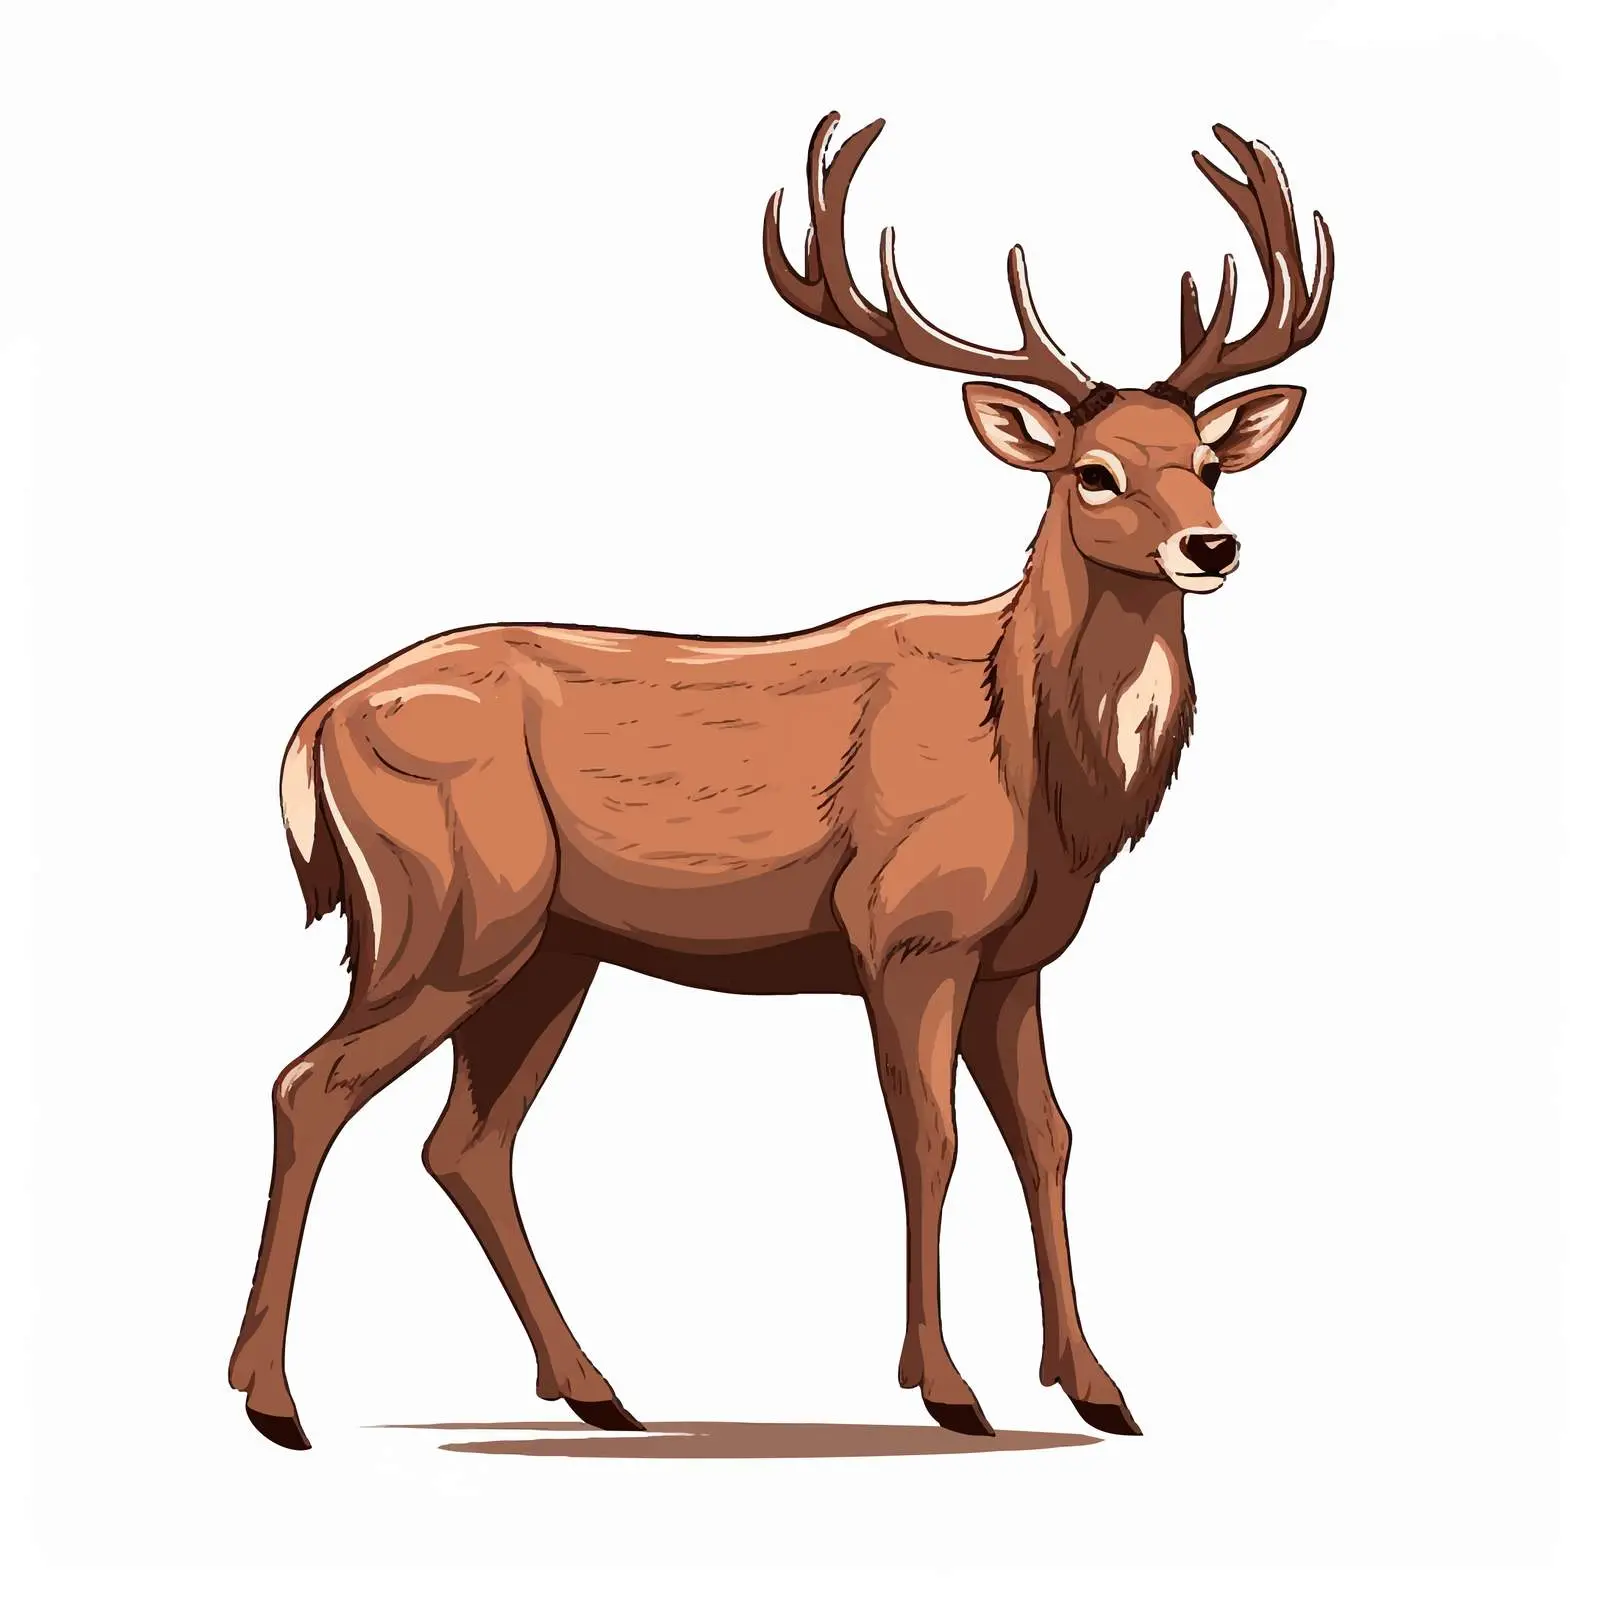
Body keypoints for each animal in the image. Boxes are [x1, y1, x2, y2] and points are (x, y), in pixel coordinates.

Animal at [230, 112, 1333, 1450]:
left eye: (1211, 461)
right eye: (1095, 472)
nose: (1210, 545)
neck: (1036, 771)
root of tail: (312, 728)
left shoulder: (1015, 958)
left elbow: (1051, 1141)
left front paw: (1097, 1383)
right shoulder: (905, 928)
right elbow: (930, 1140)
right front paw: (946, 1386)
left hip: (547, 947)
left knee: (464, 1142)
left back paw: (595, 1386)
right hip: (446, 911)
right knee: (309, 1087)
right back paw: (273, 1397)